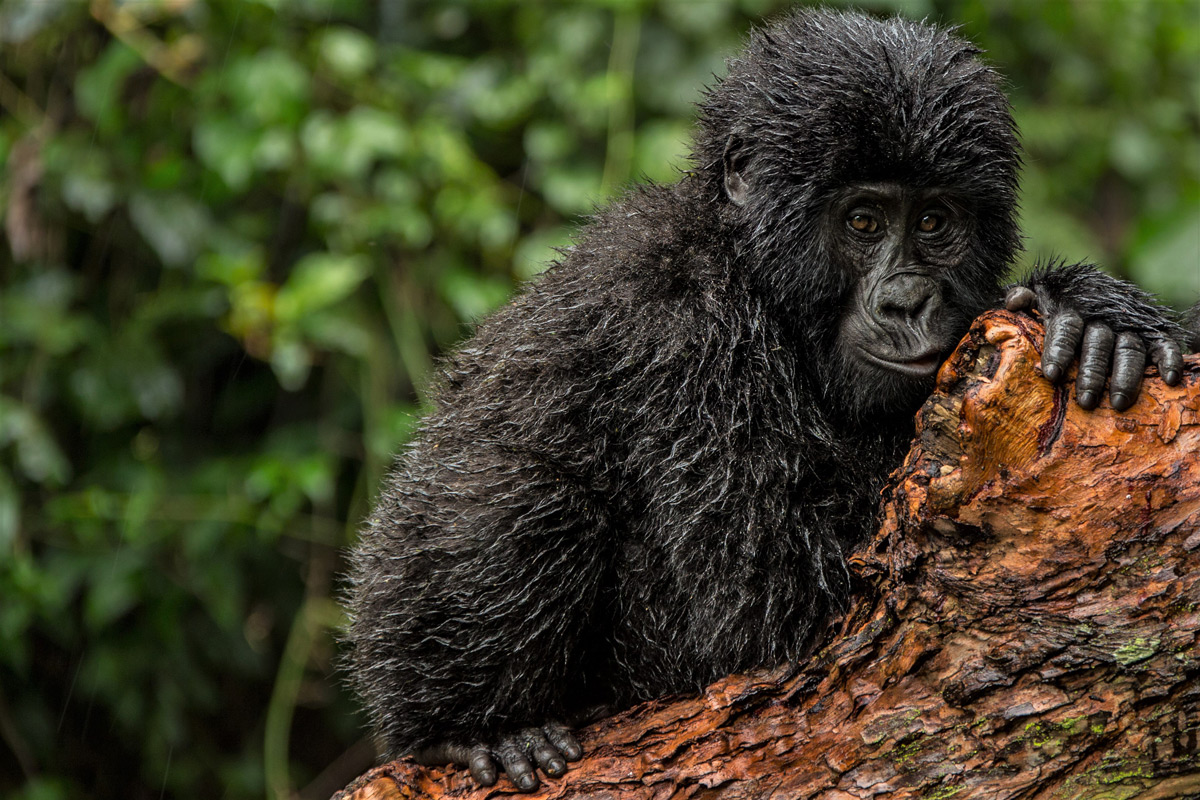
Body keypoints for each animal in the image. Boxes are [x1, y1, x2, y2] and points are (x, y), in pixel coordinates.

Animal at [343, 7, 1185, 796]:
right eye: (863, 220)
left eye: (935, 222)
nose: (908, 301)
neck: (752, 263)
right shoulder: (689, 329)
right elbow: (773, 602)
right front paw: (1075, 305)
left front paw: (1097, 315)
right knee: (522, 492)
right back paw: (472, 729)